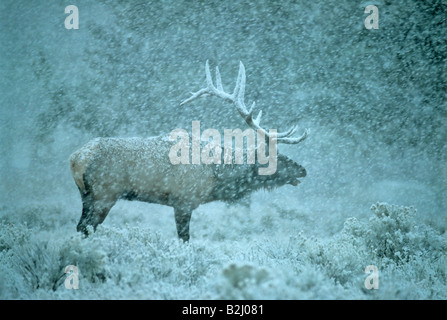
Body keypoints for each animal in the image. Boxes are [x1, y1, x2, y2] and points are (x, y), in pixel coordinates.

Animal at [70, 61, 308, 240]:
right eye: (274, 157)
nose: (303, 170)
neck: (216, 176)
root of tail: (77, 159)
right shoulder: (184, 200)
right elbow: (184, 239)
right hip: (104, 194)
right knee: (87, 228)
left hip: (86, 196)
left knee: (79, 227)